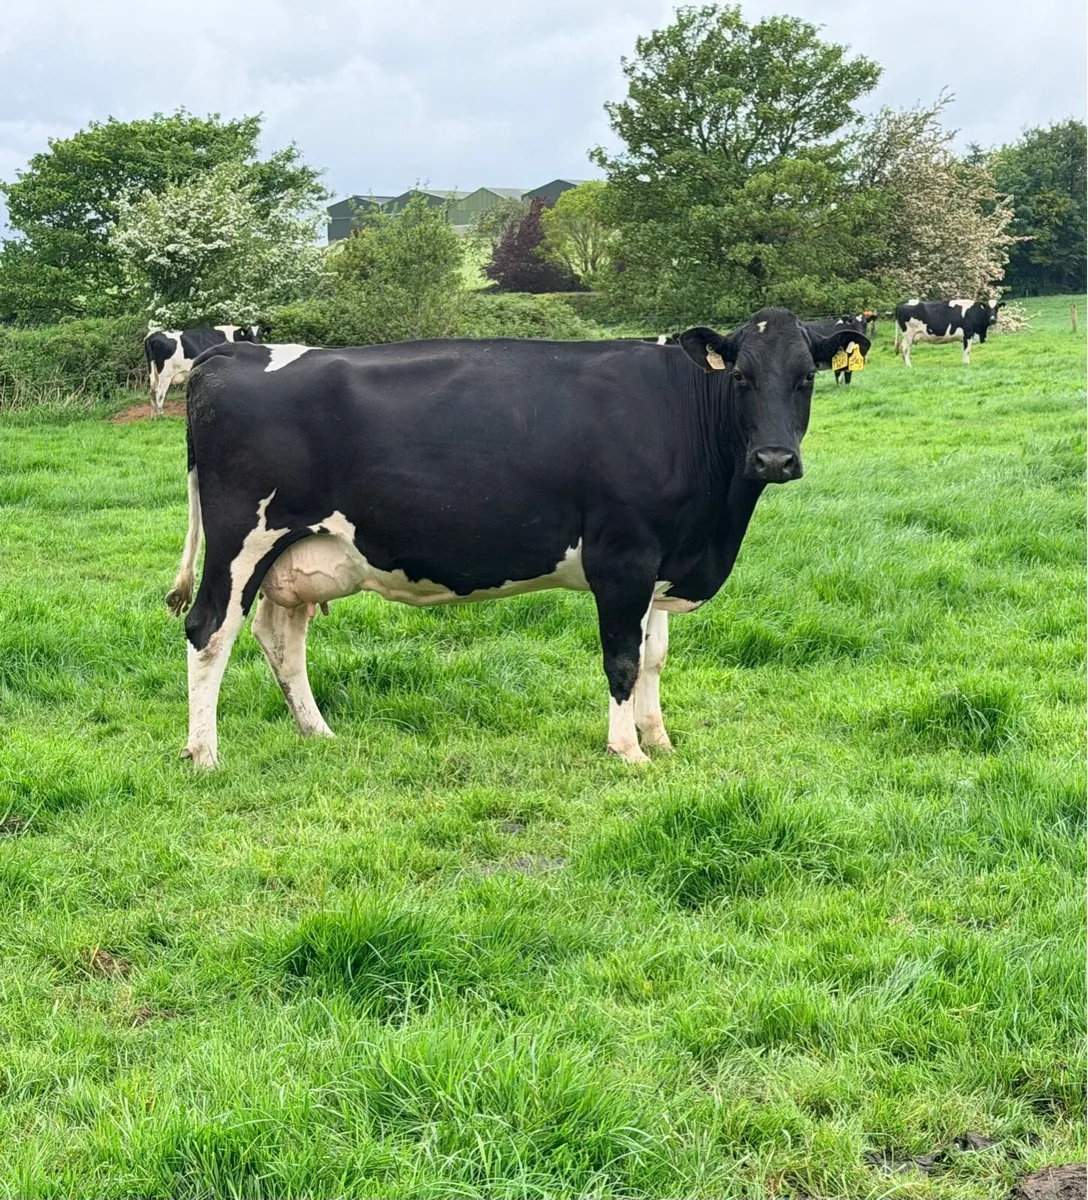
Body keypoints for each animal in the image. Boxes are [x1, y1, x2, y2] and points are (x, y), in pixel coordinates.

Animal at [165, 309, 870, 769]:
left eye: (807, 376)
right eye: (741, 377)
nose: (774, 459)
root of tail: (230, 352)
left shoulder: (662, 563)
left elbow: (653, 657)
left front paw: (659, 739)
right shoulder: (623, 558)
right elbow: (621, 658)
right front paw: (628, 751)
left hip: (297, 553)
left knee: (280, 637)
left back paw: (318, 733)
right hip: (242, 541)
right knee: (209, 631)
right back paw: (204, 754)